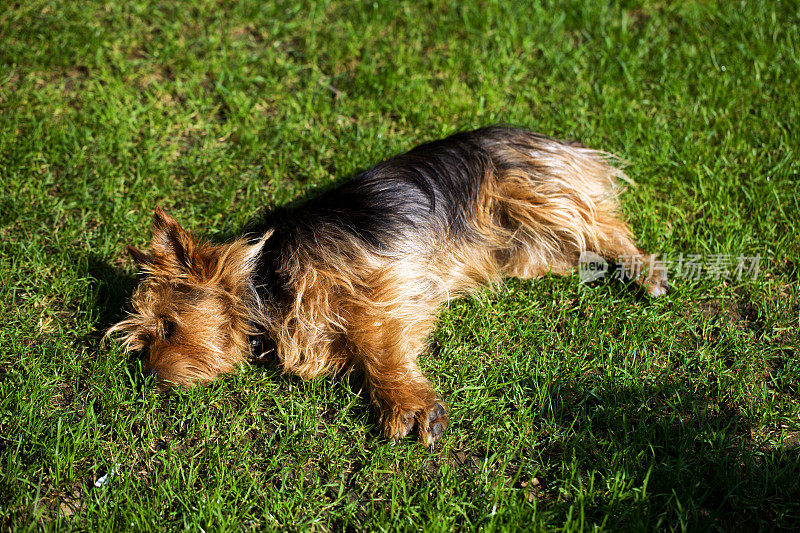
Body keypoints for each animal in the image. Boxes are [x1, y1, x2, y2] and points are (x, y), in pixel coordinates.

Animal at [108, 125, 668, 444]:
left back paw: (645, 270)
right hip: (529, 250)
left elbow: (374, 343)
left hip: (538, 191)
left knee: (604, 224)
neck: (264, 281)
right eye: (143, 341)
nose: (149, 377)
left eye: (168, 326)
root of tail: (539, 134)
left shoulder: (379, 284)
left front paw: (404, 402)